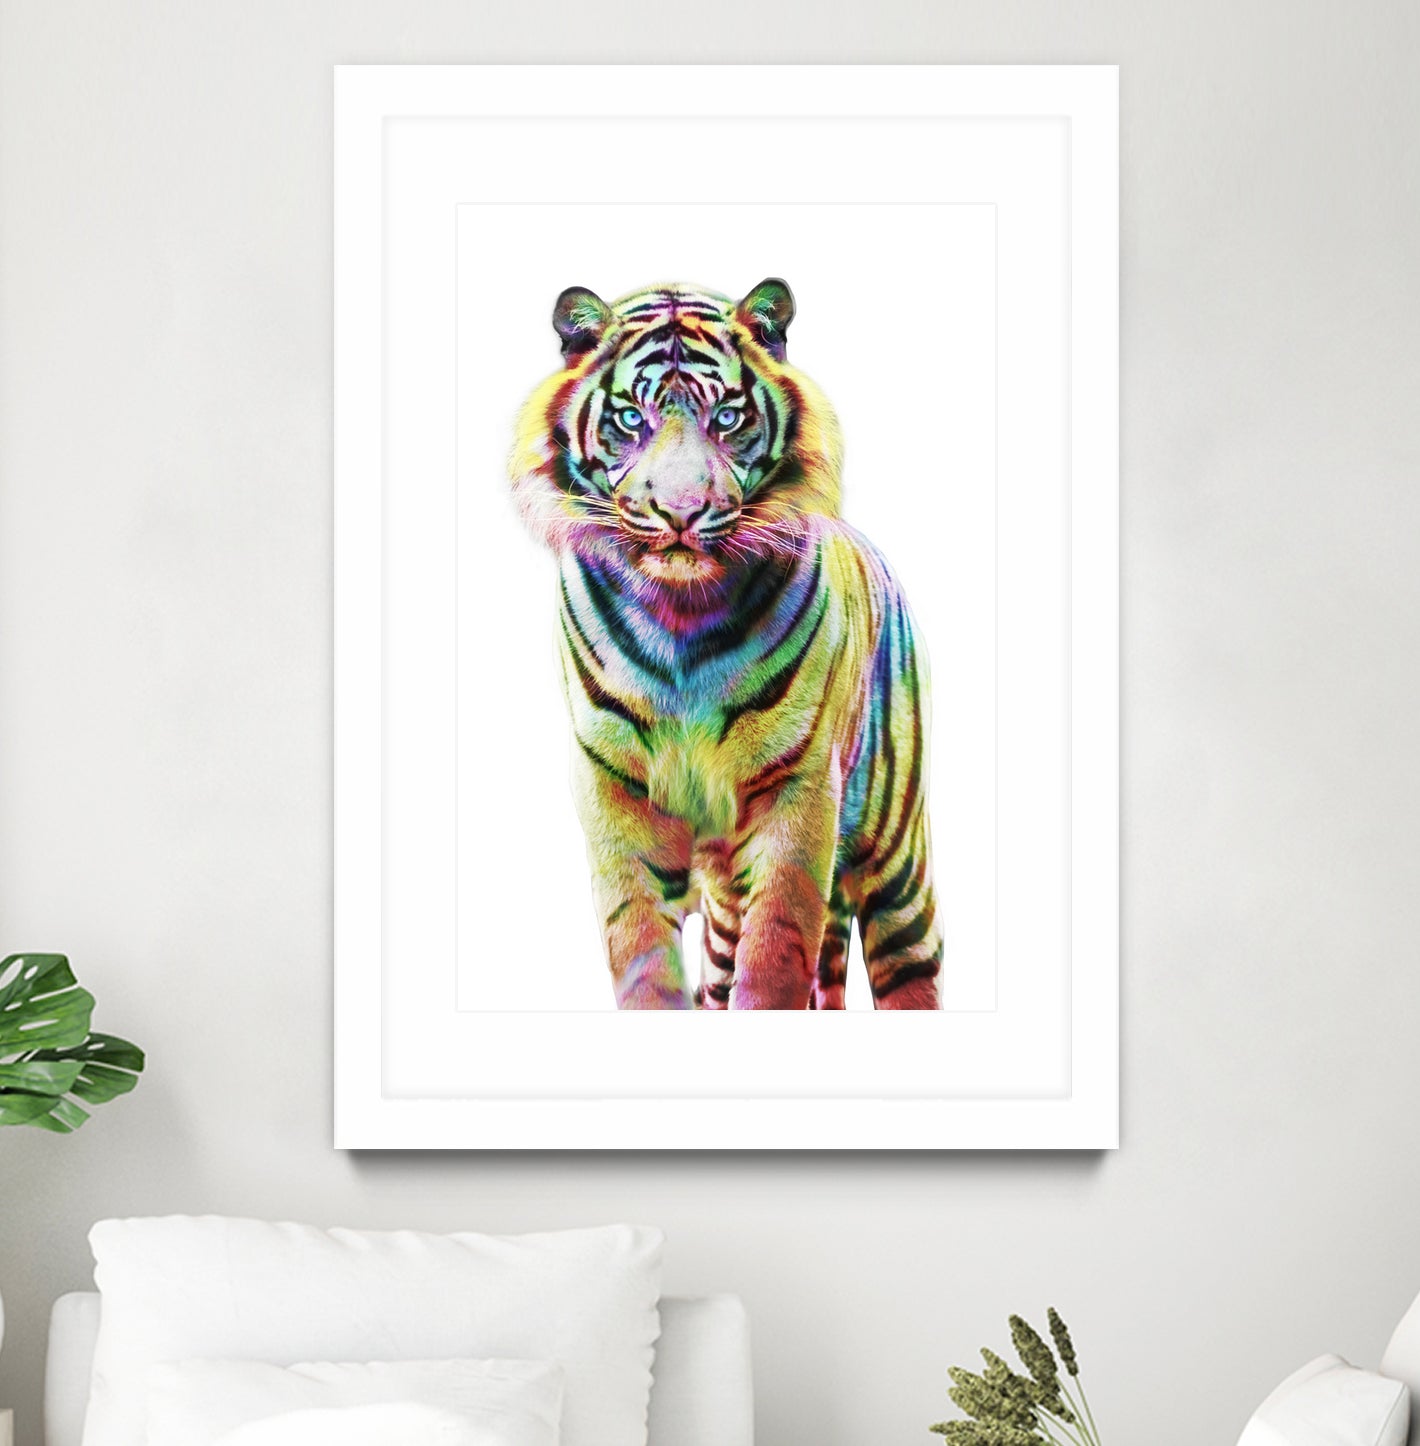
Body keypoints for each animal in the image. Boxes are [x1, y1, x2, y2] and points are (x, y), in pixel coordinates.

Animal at [509, 277, 942, 1010]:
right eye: (631, 419)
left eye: (729, 418)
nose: (681, 512)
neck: (680, 618)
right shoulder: (613, 788)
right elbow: (641, 952)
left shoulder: (797, 789)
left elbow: (775, 956)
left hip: (897, 865)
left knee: (910, 968)